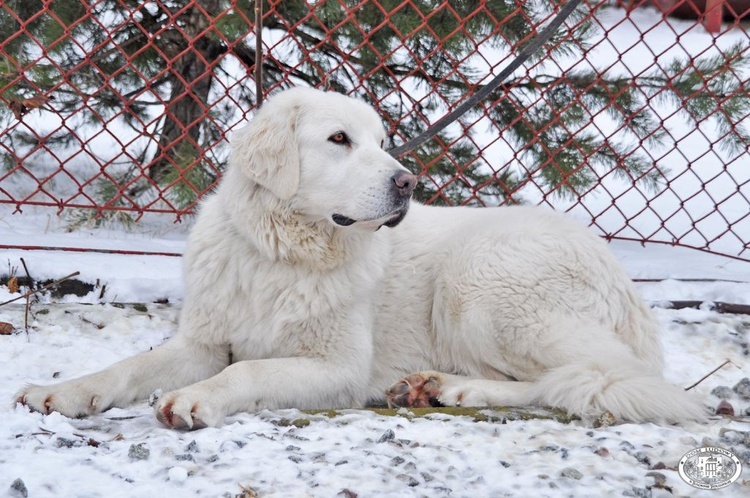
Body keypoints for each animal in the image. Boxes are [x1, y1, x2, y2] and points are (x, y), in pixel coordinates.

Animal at [19, 88, 712, 428]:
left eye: (381, 141)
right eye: (339, 140)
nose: (407, 182)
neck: (284, 252)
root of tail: (627, 286)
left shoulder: (338, 368)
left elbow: (247, 372)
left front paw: (197, 401)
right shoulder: (203, 342)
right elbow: (130, 367)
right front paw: (66, 392)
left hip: (480, 283)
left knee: (593, 379)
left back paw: (453, 389)